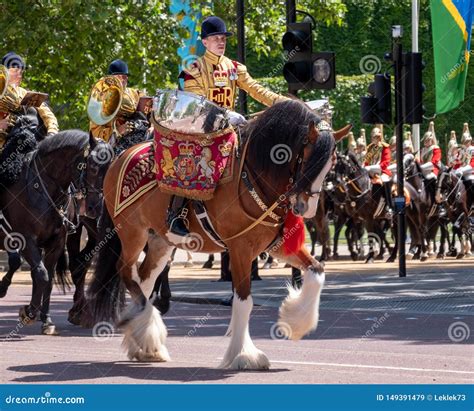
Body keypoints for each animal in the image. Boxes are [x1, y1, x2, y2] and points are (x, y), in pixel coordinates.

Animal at [88, 101, 348, 372]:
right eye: (307, 160)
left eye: (331, 164)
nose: (305, 208)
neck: (254, 178)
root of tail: (121, 156)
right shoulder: (240, 249)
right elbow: (244, 301)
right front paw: (244, 355)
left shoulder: (275, 246)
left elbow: (317, 271)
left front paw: (294, 322)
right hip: (132, 233)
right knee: (126, 272)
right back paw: (144, 326)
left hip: (160, 241)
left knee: (144, 279)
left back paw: (145, 342)